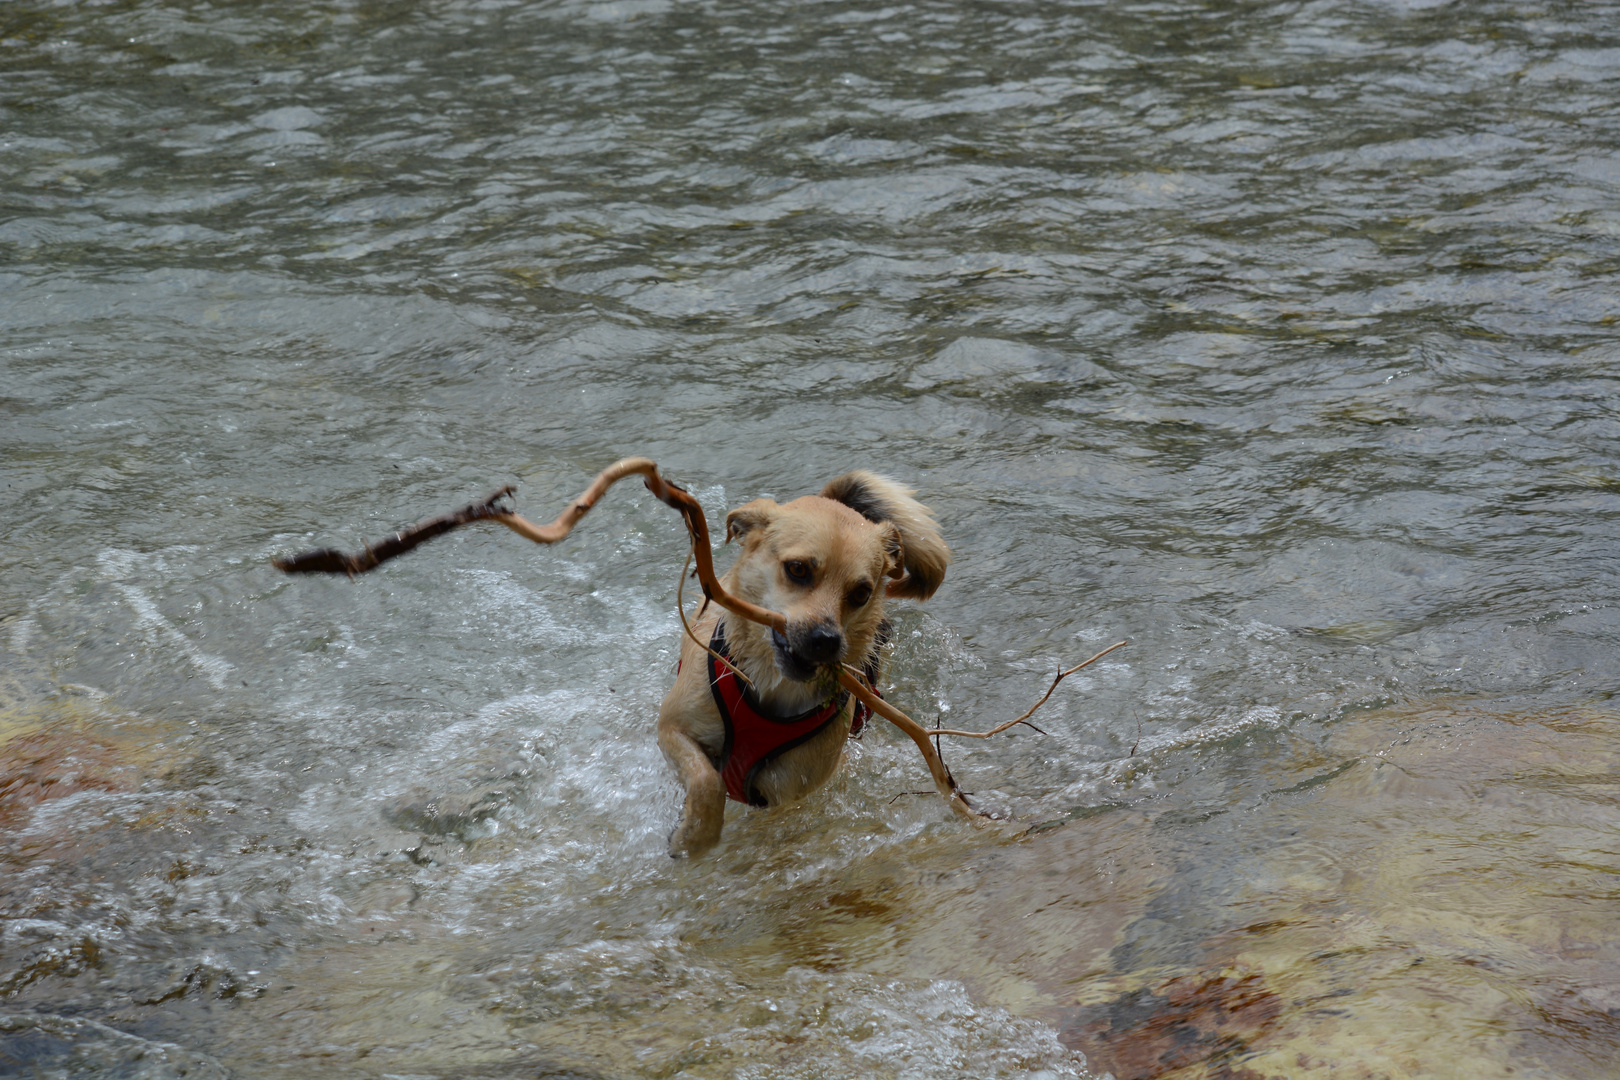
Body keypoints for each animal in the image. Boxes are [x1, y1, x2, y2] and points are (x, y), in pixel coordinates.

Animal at [651, 472, 946, 861]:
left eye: (861, 593)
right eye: (798, 569)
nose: (826, 640)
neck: (772, 688)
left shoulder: (786, 793)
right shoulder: (673, 727)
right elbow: (706, 780)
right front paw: (694, 839)